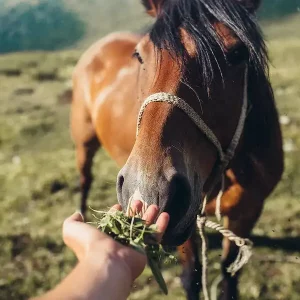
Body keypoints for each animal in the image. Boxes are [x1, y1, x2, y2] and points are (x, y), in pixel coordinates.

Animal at [71, 0, 284, 298]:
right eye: (139, 55)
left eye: (238, 53)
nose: (147, 190)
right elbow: (191, 276)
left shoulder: (248, 212)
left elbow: (229, 276)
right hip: (84, 143)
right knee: (85, 178)